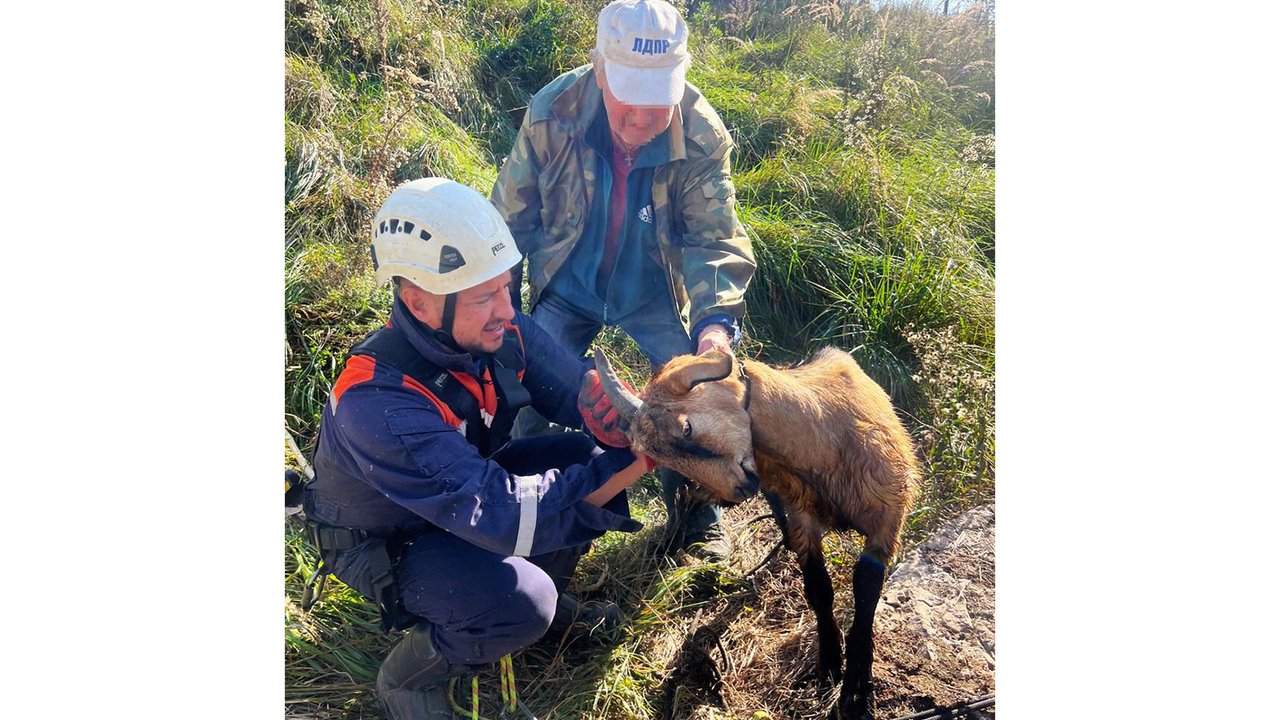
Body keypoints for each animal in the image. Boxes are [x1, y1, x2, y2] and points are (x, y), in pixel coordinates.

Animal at [593, 345, 916, 717]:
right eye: (663, 461)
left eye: (686, 427)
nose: (739, 488)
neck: (821, 433)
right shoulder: (802, 517)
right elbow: (818, 589)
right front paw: (829, 665)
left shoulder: (886, 517)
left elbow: (866, 590)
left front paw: (856, 691)